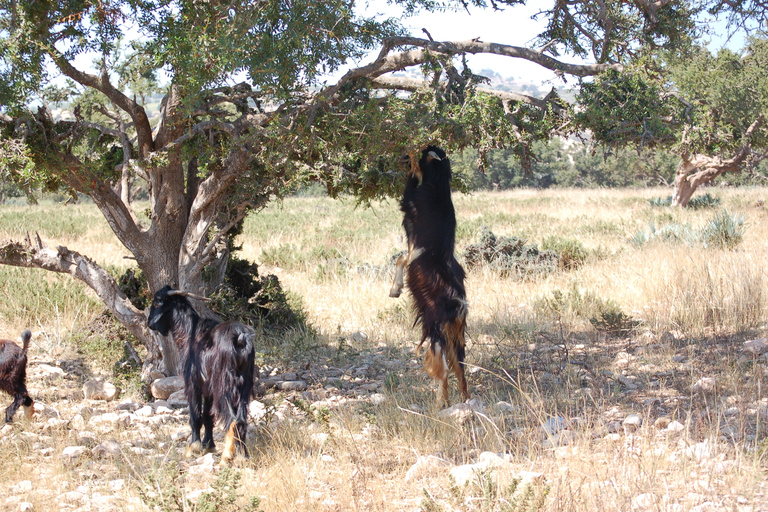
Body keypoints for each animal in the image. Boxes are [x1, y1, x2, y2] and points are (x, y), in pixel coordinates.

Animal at [148, 286, 256, 462]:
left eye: (157, 301)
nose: (149, 322)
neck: (189, 333)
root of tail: (240, 339)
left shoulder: (193, 383)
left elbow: (196, 417)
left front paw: (194, 447)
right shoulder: (208, 388)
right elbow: (208, 416)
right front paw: (208, 445)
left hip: (224, 383)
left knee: (232, 419)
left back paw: (227, 456)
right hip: (245, 383)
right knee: (241, 419)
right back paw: (243, 455)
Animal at [392, 146, 472, 406]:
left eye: (427, 151)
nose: (404, 155)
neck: (438, 186)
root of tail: (458, 305)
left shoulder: (413, 234)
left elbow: (401, 259)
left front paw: (395, 289)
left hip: (436, 329)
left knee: (444, 369)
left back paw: (441, 403)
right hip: (455, 336)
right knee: (460, 367)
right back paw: (464, 401)